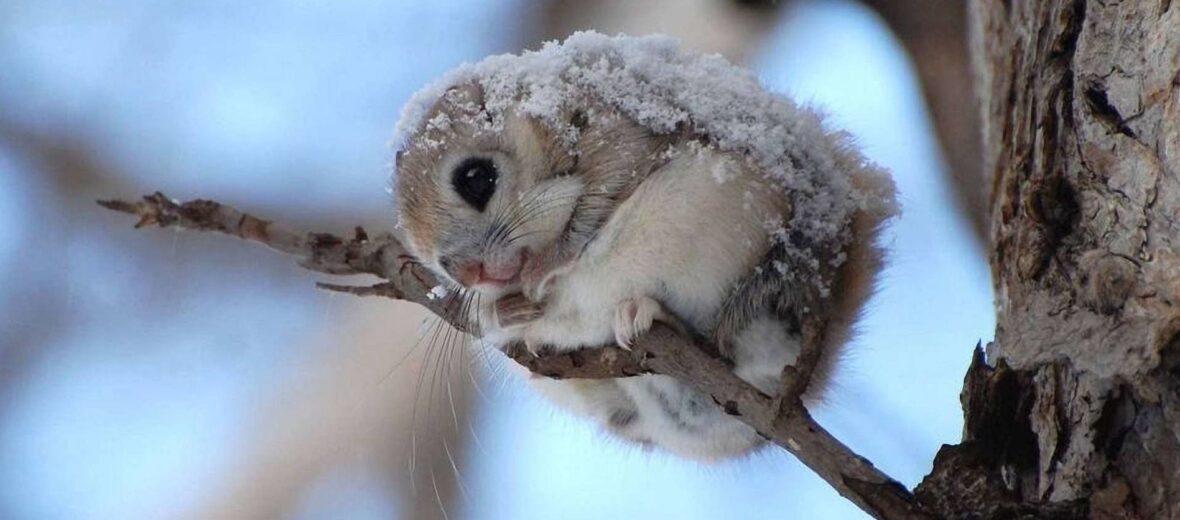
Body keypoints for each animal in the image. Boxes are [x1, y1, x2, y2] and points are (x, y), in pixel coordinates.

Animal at [391, 34, 896, 459]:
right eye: (430, 257)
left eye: (476, 178)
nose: (467, 273)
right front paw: (501, 310)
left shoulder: (617, 135)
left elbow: (595, 204)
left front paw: (545, 268)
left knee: (730, 349)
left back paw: (651, 314)